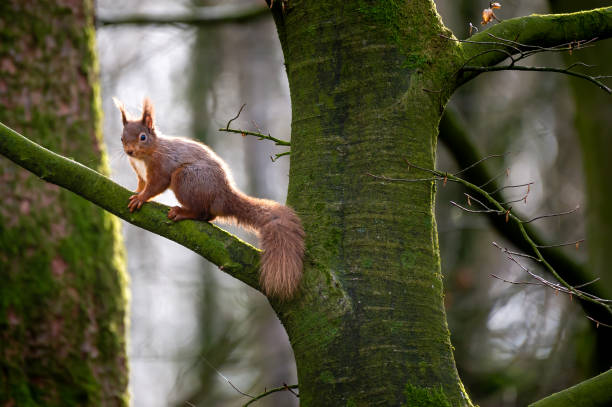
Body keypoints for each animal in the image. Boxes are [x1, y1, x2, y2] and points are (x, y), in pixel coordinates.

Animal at [112, 97, 304, 298]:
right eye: (121, 138)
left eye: (143, 137)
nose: (129, 152)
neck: (147, 154)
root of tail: (223, 196)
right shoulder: (140, 174)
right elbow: (142, 184)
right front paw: (136, 192)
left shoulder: (161, 167)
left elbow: (155, 185)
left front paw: (141, 198)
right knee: (209, 216)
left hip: (185, 179)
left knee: (202, 213)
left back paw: (183, 212)